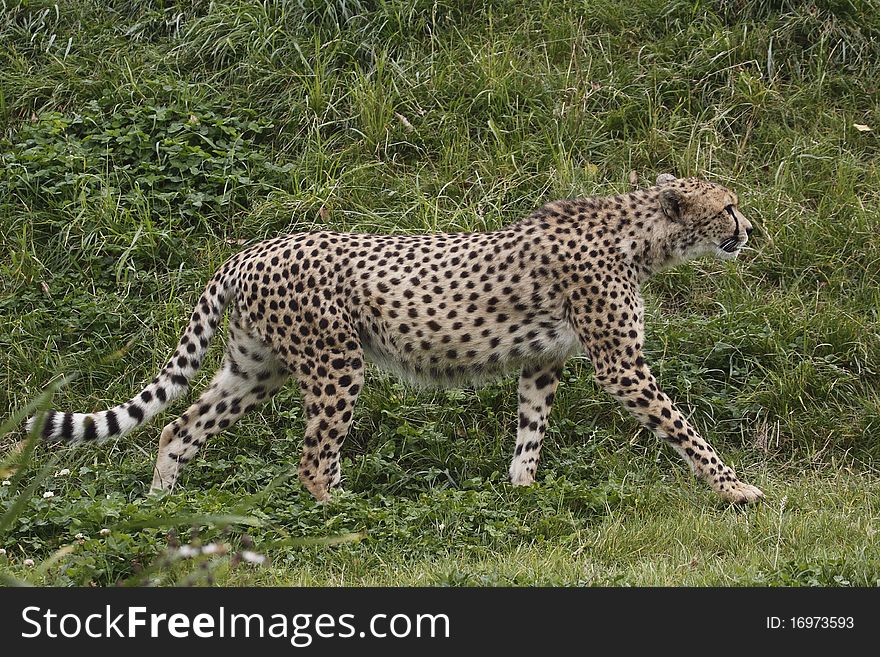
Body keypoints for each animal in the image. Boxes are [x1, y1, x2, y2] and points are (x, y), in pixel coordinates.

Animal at [29, 173, 764, 502]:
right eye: (727, 206)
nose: (750, 227)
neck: (640, 236)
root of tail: (252, 248)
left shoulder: (543, 362)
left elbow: (531, 430)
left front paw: (523, 493)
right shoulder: (620, 364)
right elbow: (682, 427)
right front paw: (736, 489)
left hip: (256, 366)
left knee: (179, 425)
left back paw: (164, 508)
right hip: (335, 362)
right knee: (311, 459)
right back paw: (338, 513)